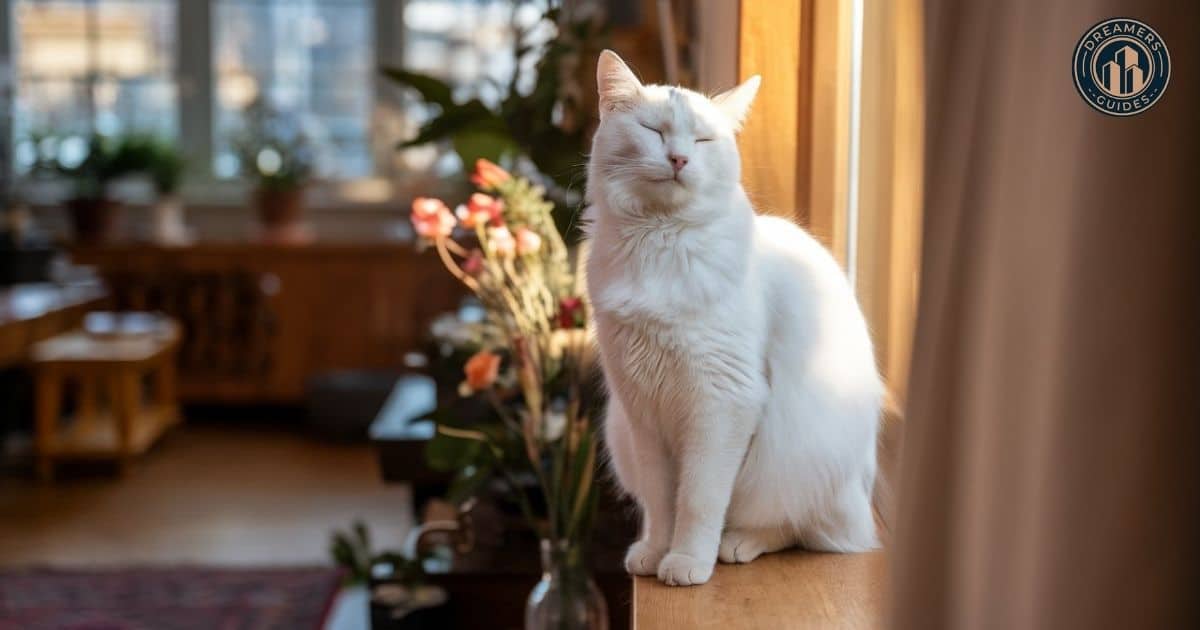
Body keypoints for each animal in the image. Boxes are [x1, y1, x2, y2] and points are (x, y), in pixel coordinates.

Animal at [585, 49, 888, 585]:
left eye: (703, 140)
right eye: (654, 131)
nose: (679, 159)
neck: (659, 243)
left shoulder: (722, 402)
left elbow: (699, 500)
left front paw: (686, 563)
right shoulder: (643, 412)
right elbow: (663, 504)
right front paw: (656, 554)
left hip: (794, 458)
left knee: (796, 528)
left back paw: (736, 545)